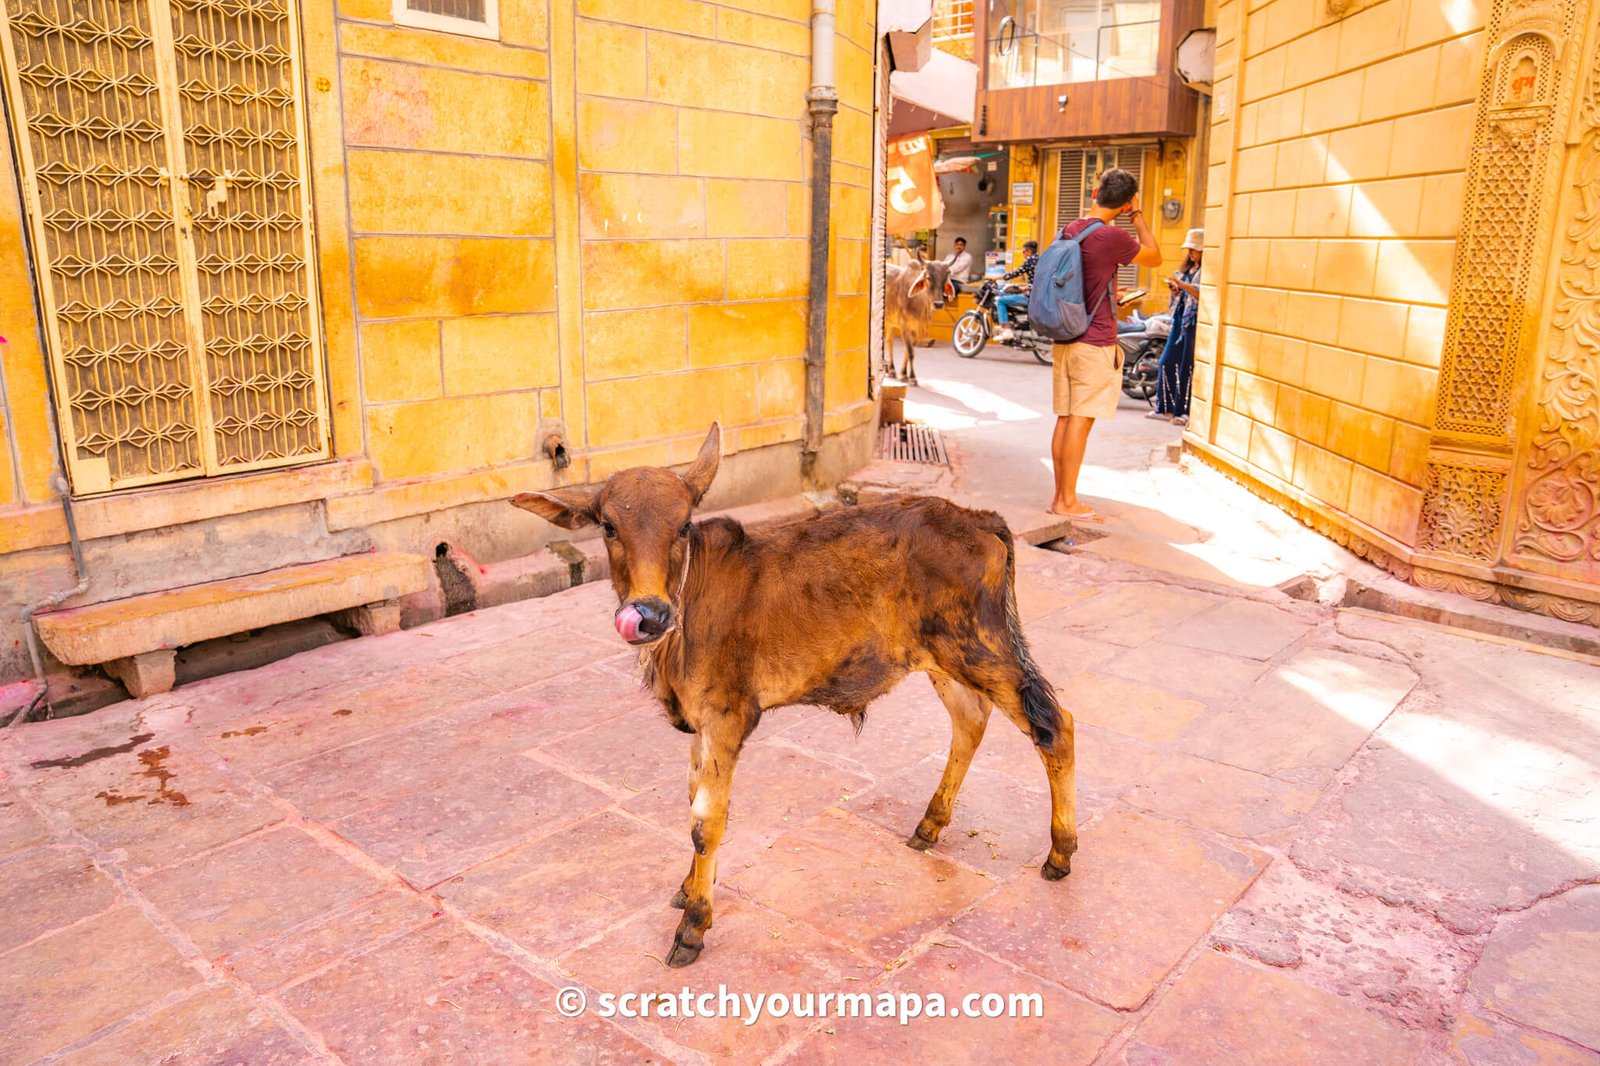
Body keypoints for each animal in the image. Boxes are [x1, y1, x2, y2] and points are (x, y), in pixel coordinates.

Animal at [512, 422, 1075, 960]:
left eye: (684, 525)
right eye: (609, 526)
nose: (649, 614)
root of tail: (979, 518)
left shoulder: (728, 714)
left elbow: (705, 821)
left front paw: (693, 925)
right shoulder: (700, 725)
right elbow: (692, 800)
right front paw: (689, 888)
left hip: (980, 646)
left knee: (1054, 725)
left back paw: (1060, 853)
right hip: (942, 657)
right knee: (971, 720)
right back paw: (929, 825)